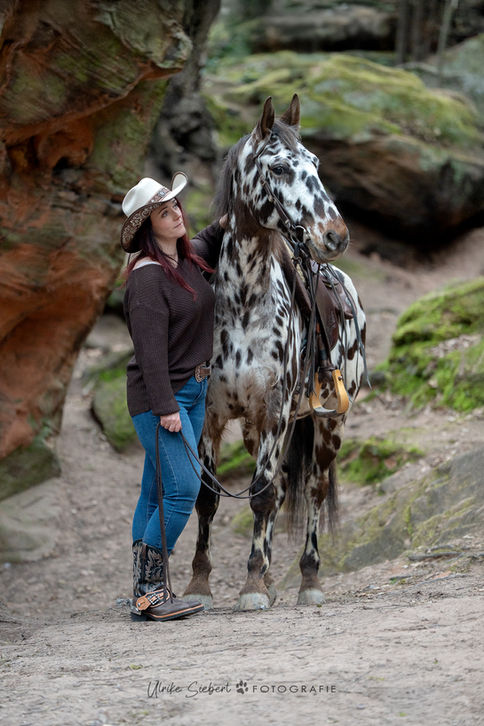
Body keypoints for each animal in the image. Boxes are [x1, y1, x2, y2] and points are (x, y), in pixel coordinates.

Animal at [183, 94, 366, 610]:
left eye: (317, 164)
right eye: (281, 167)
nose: (336, 235)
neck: (245, 304)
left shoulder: (275, 411)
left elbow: (262, 496)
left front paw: (249, 586)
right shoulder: (212, 415)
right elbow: (208, 497)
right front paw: (201, 583)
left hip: (327, 426)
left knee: (313, 489)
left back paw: (308, 580)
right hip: (255, 430)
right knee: (284, 486)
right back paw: (270, 577)